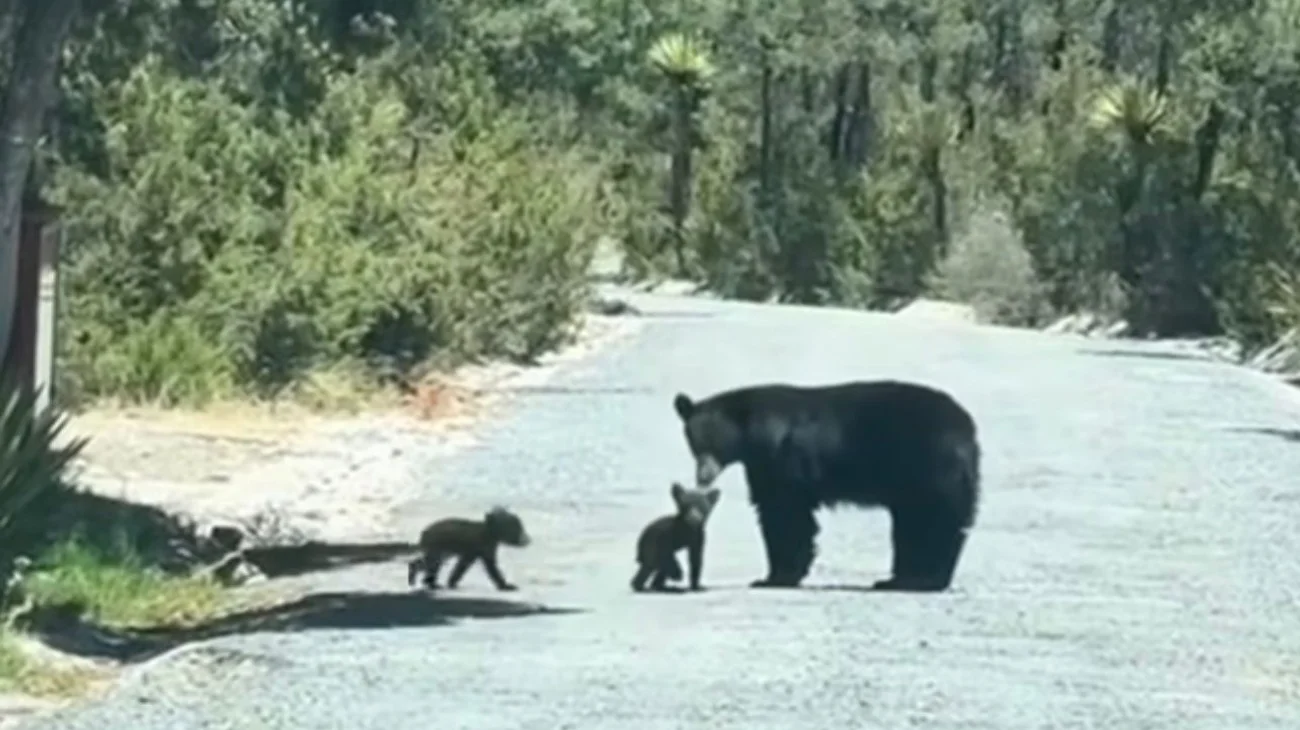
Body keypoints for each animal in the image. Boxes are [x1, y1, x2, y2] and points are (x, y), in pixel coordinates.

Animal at [671, 379, 980, 592]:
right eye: (694, 443)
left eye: (715, 443)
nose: (703, 476)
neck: (756, 436)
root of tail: (966, 429)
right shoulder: (760, 465)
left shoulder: (783, 459)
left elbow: (783, 513)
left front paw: (775, 577)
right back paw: (904, 578)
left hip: (926, 469)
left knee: (931, 521)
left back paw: (921, 578)